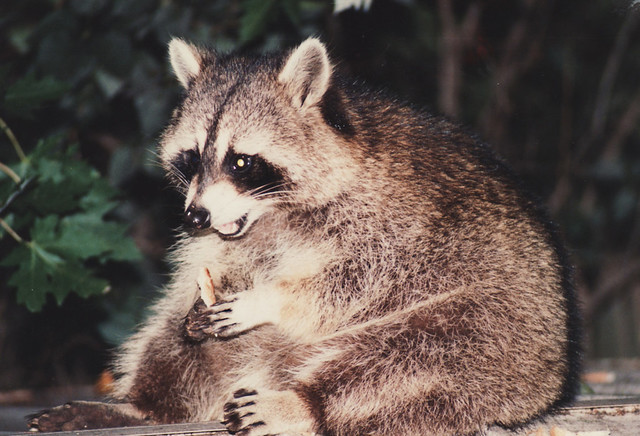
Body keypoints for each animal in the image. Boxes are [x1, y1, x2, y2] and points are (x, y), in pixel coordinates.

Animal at [29, 38, 581, 435]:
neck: (271, 214)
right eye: (191, 156)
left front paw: (269, 300)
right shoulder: (232, 239)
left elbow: (363, 279)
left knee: (424, 353)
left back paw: (304, 402)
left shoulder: (405, 220)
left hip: (510, 336)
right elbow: (205, 278)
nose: (194, 217)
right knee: (166, 338)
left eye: (242, 162)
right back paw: (145, 408)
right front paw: (214, 294)